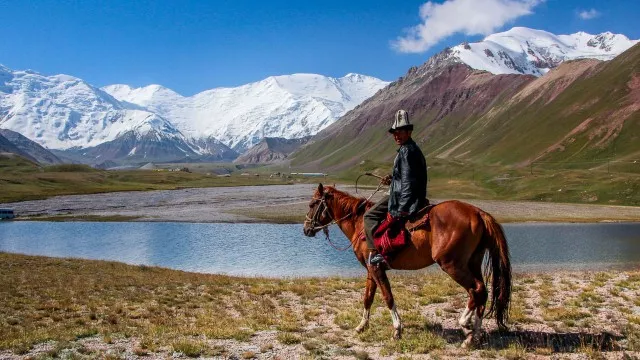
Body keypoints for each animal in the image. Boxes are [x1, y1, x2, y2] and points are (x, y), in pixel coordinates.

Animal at [302, 184, 512, 348]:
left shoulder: (376, 268)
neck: (359, 223)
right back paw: (474, 334)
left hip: (452, 264)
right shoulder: (371, 270)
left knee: (476, 289)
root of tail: (478, 212)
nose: (305, 229)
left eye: (312, 204)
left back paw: (465, 326)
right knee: (482, 292)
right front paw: (361, 326)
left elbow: (388, 297)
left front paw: (397, 330)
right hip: (472, 262)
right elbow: (368, 298)